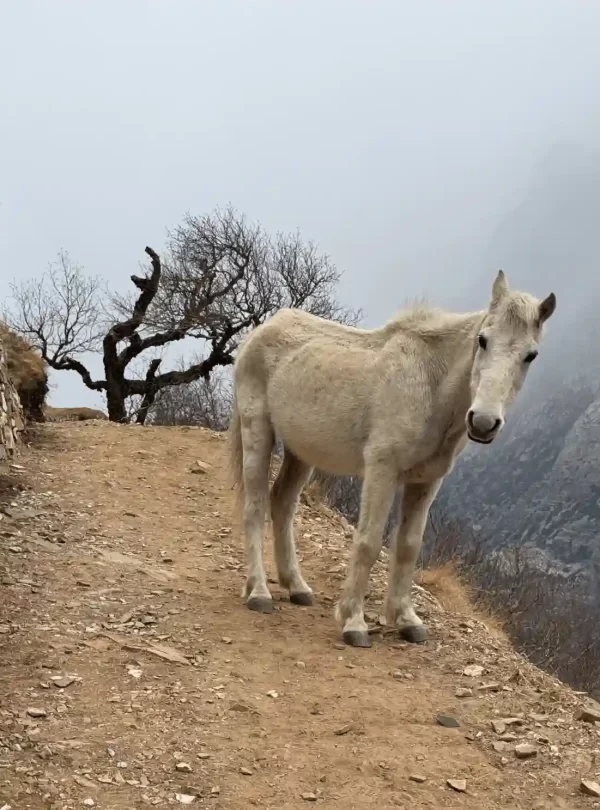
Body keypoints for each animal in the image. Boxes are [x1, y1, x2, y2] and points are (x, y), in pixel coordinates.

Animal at [228, 270, 556, 647]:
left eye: (531, 355)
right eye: (483, 340)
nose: (483, 422)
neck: (430, 382)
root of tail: (261, 331)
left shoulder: (426, 482)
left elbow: (408, 546)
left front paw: (406, 620)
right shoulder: (381, 471)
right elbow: (369, 542)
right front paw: (354, 622)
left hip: (300, 451)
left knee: (282, 503)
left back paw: (297, 587)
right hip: (258, 431)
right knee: (255, 507)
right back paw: (259, 592)